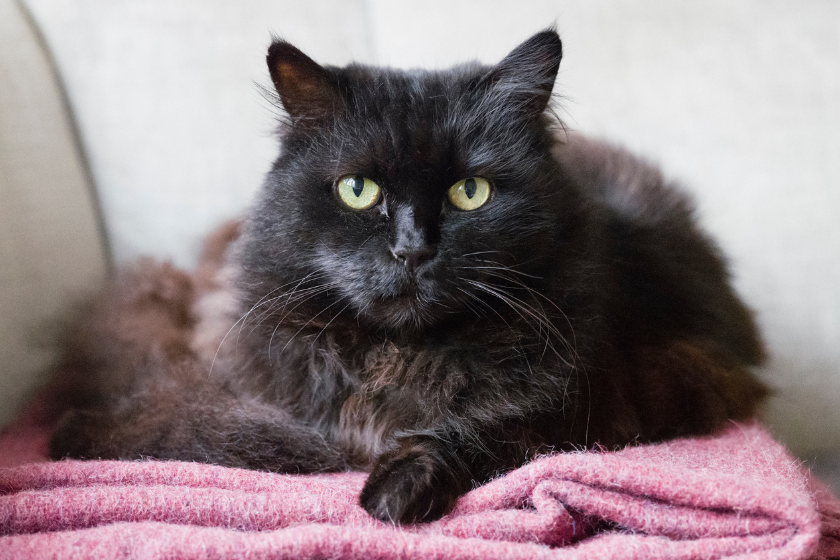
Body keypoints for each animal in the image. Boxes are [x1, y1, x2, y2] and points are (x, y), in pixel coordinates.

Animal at [49, 28, 764, 524]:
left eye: (470, 192)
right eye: (358, 190)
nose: (412, 250)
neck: (395, 356)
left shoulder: (604, 398)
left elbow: (486, 432)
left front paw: (395, 490)